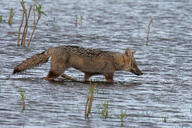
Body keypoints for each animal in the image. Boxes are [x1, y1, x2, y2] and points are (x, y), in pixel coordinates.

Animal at [13, 45, 142, 82]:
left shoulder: (87, 75)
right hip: (56, 71)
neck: (113, 59)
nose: (142, 73)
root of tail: (55, 47)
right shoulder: (109, 76)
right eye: (135, 65)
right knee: (47, 77)